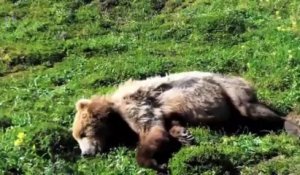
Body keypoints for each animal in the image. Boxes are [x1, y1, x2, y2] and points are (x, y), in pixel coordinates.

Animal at [71, 71, 298, 174]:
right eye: (77, 138)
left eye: (83, 134)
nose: (85, 153)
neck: (117, 117)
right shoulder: (165, 112)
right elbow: (170, 125)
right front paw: (184, 135)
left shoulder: (136, 107)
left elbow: (153, 131)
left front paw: (156, 163)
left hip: (230, 90)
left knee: (253, 109)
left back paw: (290, 125)